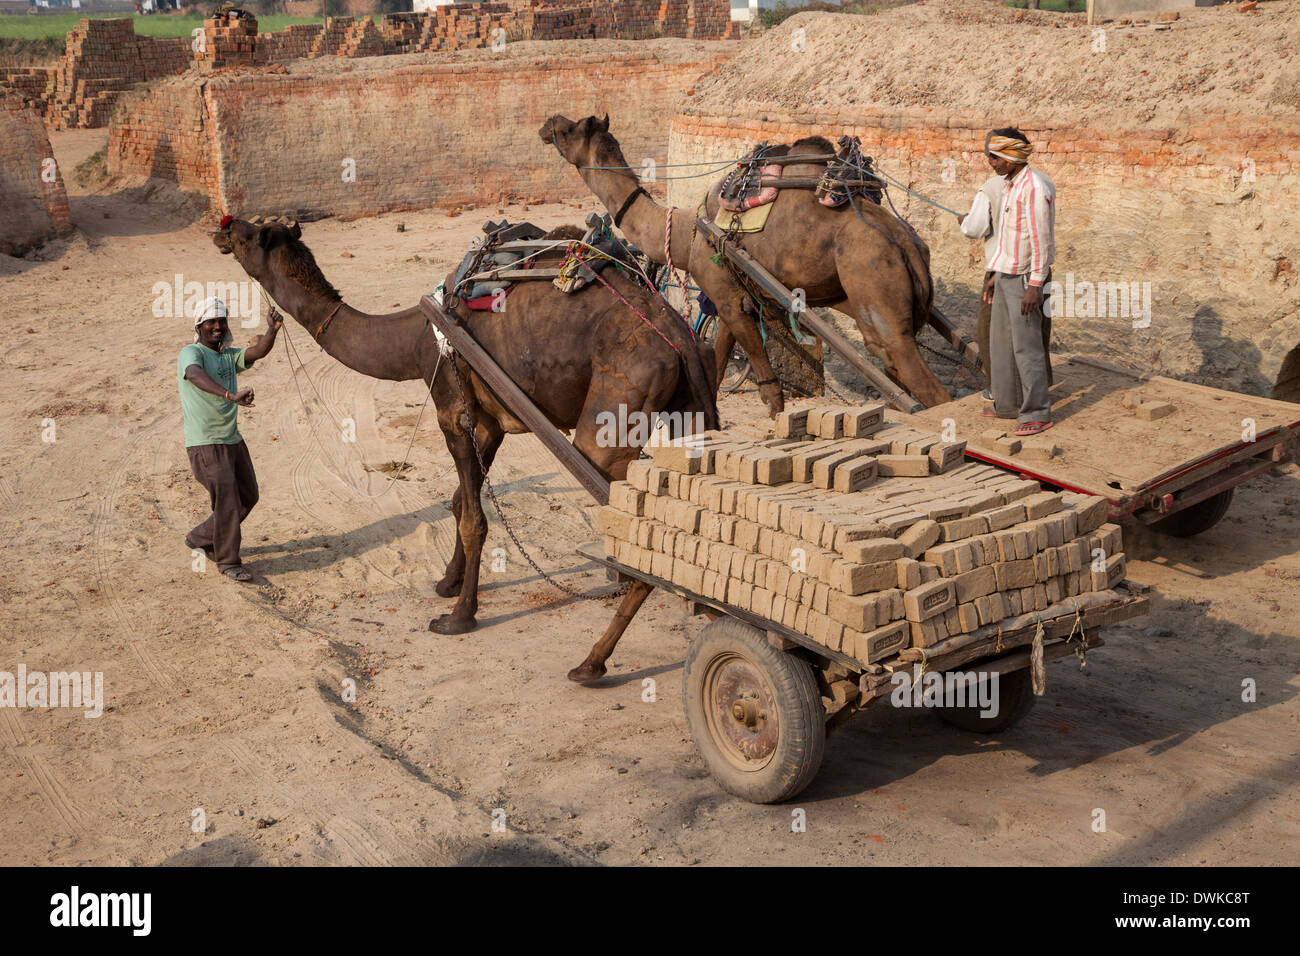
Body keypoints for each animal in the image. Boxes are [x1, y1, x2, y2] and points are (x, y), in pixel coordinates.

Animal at [214, 217, 722, 634]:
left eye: (250, 235)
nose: (223, 227)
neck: (416, 336)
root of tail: (680, 338)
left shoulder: (452, 408)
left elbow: (473, 519)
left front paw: (458, 616)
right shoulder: (486, 420)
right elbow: (461, 500)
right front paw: (447, 582)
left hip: (616, 407)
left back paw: (592, 664)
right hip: (688, 409)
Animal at [538, 113, 956, 413]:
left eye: (571, 128)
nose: (547, 124)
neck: (687, 231)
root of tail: (908, 244)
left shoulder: (716, 278)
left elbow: (756, 362)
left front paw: (776, 412)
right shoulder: (730, 288)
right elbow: (721, 354)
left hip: (873, 280)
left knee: (914, 374)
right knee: (897, 366)